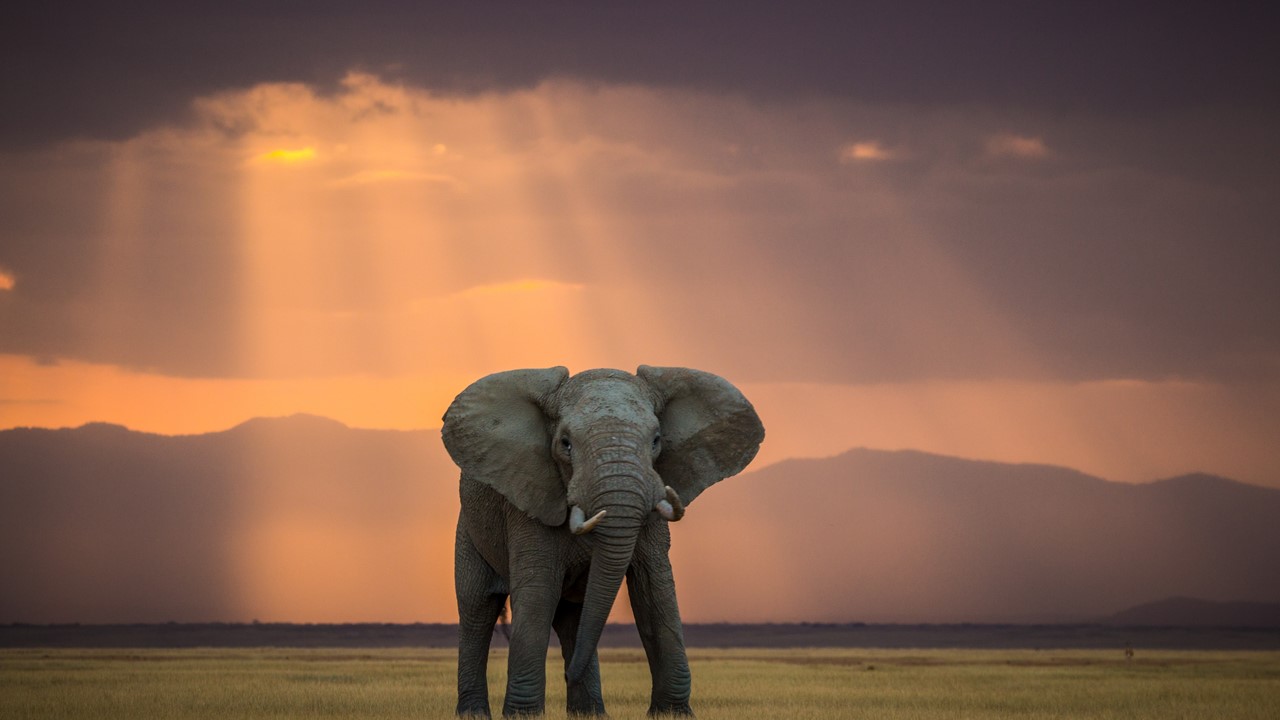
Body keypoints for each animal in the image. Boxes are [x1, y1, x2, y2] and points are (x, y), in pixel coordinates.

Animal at [442, 366, 757, 712]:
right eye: (565, 443)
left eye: (656, 440)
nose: (567, 676)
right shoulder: (528, 503)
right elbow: (538, 594)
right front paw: (522, 715)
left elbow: (654, 590)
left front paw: (672, 713)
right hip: (468, 529)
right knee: (477, 609)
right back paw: (474, 713)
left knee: (574, 618)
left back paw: (589, 712)